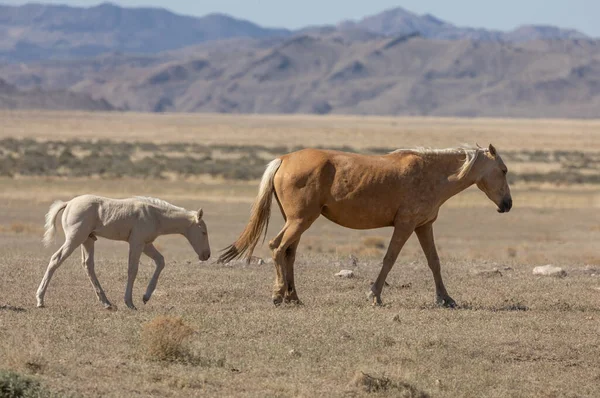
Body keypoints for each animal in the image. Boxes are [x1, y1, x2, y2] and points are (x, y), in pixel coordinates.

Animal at [37, 194, 211, 310]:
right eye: (203, 232)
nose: (207, 255)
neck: (155, 215)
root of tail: (68, 203)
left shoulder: (146, 244)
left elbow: (160, 261)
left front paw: (146, 297)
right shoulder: (136, 243)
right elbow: (132, 270)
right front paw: (130, 302)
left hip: (87, 240)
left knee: (88, 265)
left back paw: (106, 303)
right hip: (75, 239)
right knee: (56, 259)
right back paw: (40, 300)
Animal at [220, 145, 510, 306]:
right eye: (504, 170)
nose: (507, 204)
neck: (431, 173)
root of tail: (284, 159)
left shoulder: (423, 226)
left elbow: (434, 262)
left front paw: (446, 299)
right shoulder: (405, 226)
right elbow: (389, 259)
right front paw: (374, 296)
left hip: (296, 222)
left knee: (288, 254)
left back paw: (294, 297)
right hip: (300, 221)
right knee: (277, 247)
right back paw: (279, 295)